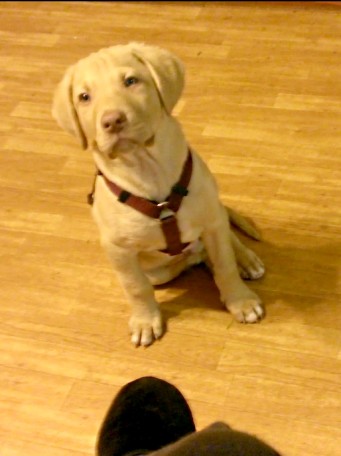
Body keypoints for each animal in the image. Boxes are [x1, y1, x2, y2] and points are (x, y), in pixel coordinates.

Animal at [51, 43, 264, 350]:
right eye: (84, 97)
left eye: (131, 81)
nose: (112, 121)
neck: (150, 173)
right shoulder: (118, 250)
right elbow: (136, 287)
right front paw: (144, 321)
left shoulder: (212, 222)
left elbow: (225, 265)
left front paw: (241, 301)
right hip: (159, 271)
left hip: (214, 215)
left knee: (226, 242)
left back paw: (246, 260)